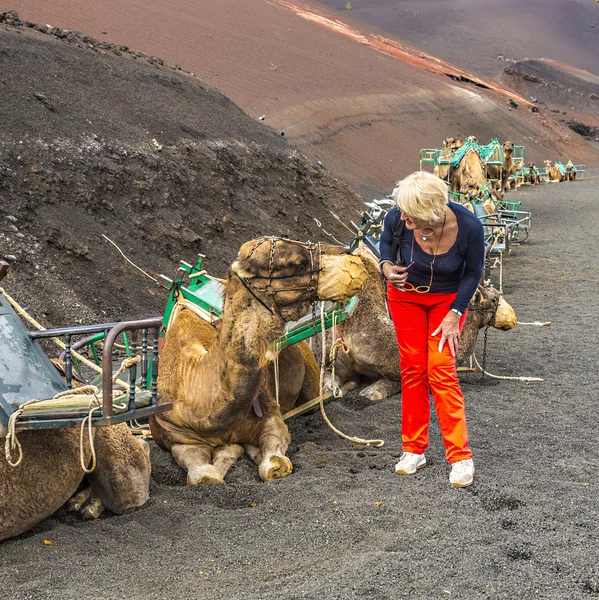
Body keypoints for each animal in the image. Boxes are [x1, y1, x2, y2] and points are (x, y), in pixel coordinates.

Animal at [152, 237, 368, 486]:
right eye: (297, 263)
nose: (348, 251)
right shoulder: (178, 438)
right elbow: (203, 475)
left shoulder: (271, 417)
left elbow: (276, 462)